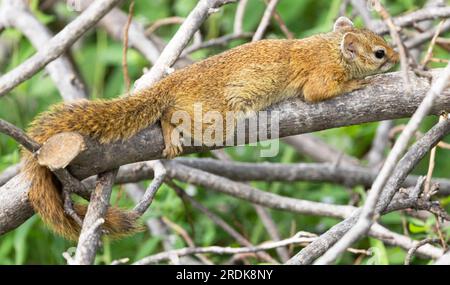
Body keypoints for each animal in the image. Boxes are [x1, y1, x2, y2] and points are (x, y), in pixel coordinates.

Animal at [22, 17, 400, 240]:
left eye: (381, 42)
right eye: (379, 52)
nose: (398, 57)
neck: (328, 49)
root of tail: (172, 82)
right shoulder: (319, 77)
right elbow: (320, 92)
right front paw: (359, 84)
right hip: (210, 118)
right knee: (171, 114)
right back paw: (171, 130)